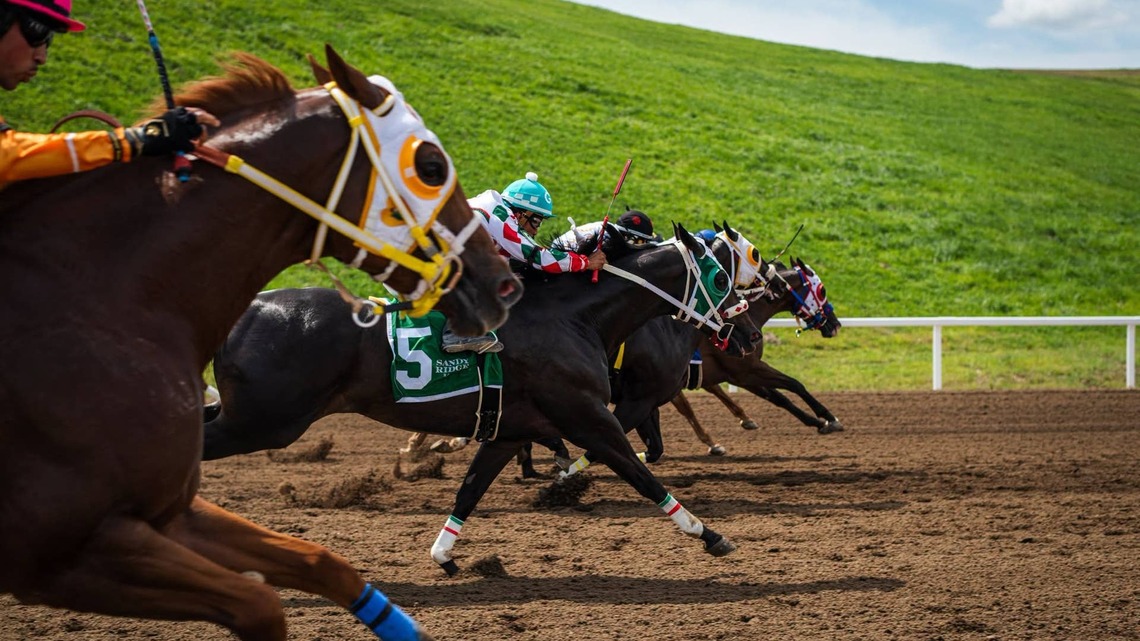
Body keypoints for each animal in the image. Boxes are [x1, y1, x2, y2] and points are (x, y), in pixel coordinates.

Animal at [0, 45, 522, 641]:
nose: (503, 283)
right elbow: (259, 603)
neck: (106, 298)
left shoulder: (164, 515)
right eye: (431, 167)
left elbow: (322, 562)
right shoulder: (68, 551)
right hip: (263, 423)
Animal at [202, 224, 762, 576]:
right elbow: (642, 474)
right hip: (264, 421)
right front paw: (707, 533)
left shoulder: (508, 429)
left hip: (246, 414)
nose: (749, 335)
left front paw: (445, 555)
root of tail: (248, 307)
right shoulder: (589, 416)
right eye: (720, 277)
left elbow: (469, 491)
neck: (573, 315)